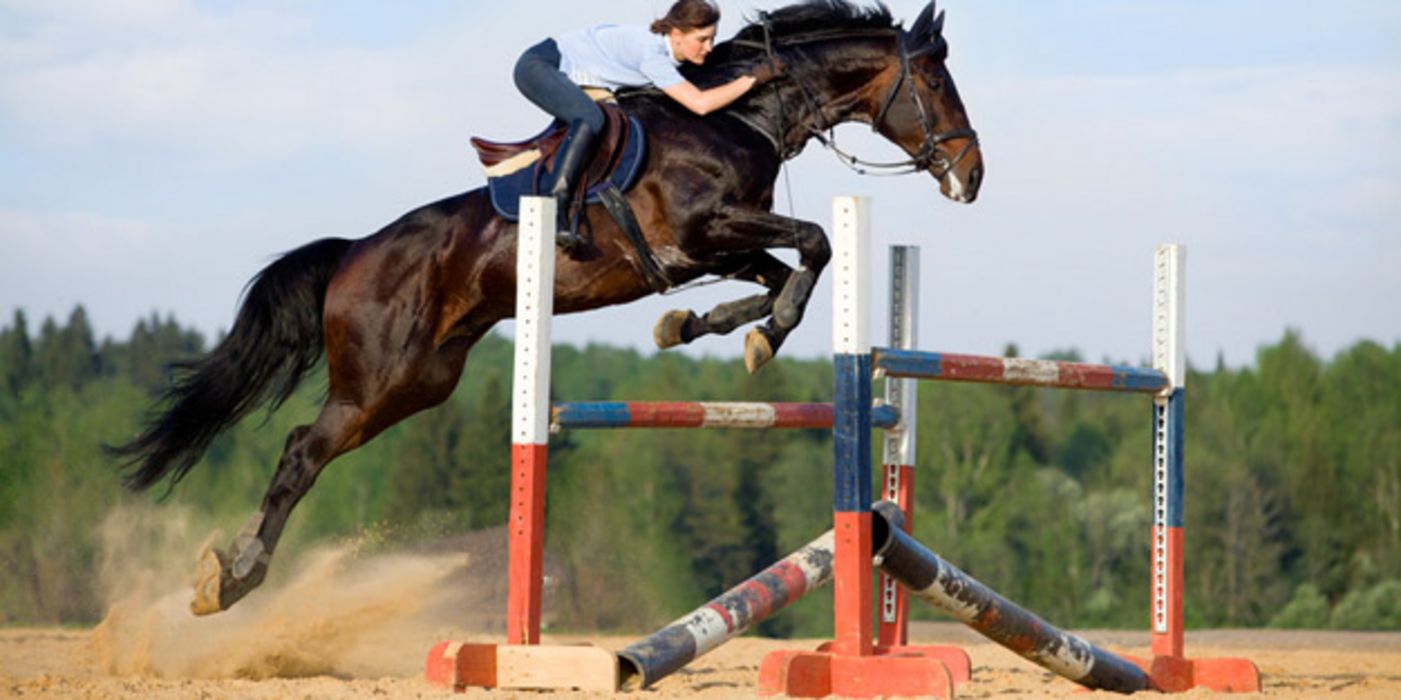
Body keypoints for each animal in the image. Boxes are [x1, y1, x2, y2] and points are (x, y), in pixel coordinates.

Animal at [109, 0, 980, 616]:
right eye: (935, 84)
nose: (971, 178)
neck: (734, 115)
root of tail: (353, 251)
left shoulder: (714, 248)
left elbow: (781, 273)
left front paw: (703, 328)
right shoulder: (705, 230)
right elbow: (817, 245)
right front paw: (758, 337)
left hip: (421, 383)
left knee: (314, 447)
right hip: (376, 378)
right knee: (300, 453)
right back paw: (234, 578)